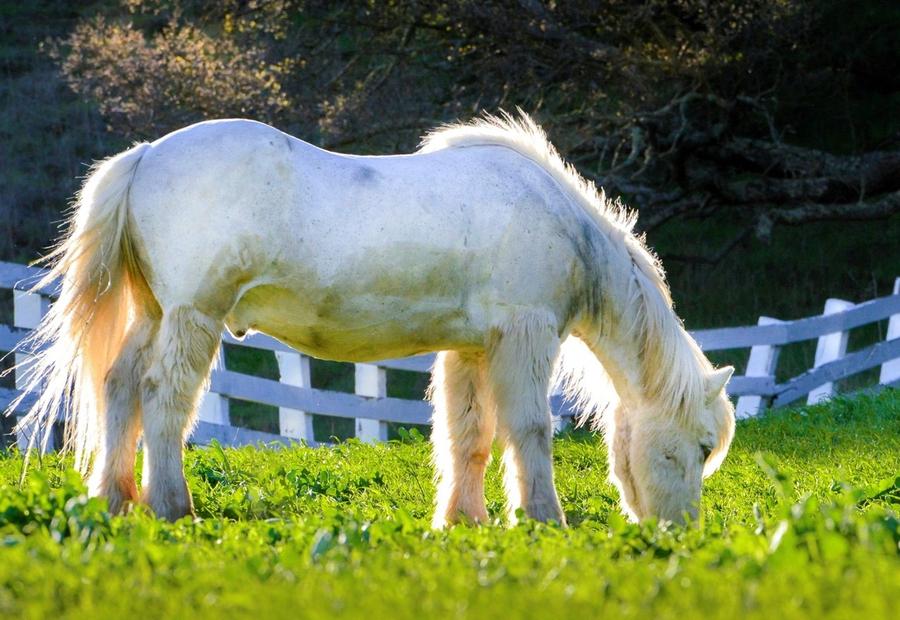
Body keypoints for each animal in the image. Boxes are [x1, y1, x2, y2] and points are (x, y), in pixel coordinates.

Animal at [11, 111, 735, 525]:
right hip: (193, 317)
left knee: (119, 387)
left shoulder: (473, 349)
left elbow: (469, 436)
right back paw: (171, 508)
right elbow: (529, 430)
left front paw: (464, 522)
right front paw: (542, 520)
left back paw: (113, 502)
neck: (557, 220)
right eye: (702, 446)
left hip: (156, 315)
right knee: (162, 398)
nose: (680, 535)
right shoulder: (523, 339)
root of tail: (144, 156)